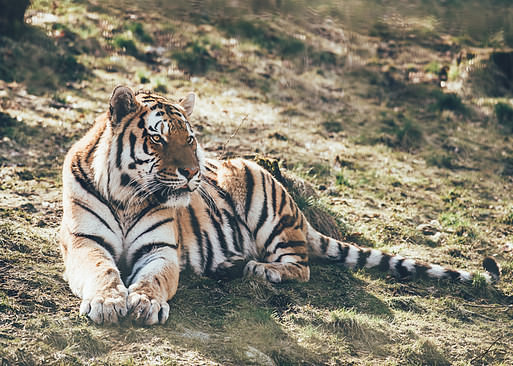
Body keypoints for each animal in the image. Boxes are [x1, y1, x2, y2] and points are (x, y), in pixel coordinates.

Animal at [58, 86, 498, 326]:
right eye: (158, 138)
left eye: (191, 138)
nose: (193, 172)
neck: (127, 195)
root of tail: (300, 213)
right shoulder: (84, 242)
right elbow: (102, 269)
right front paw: (108, 303)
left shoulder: (160, 251)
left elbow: (152, 281)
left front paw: (145, 305)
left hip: (262, 201)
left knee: (301, 267)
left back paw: (256, 269)